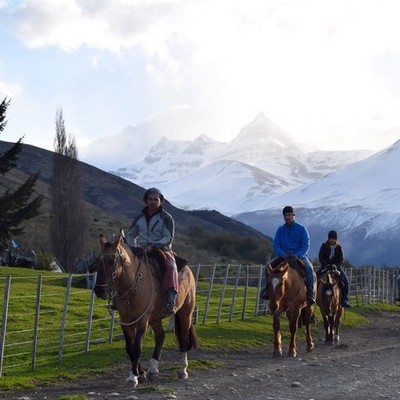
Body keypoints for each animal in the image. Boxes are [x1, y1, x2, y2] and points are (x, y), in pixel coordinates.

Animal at [94, 233, 200, 386]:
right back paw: (153, 370)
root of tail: (188, 270)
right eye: (98, 260)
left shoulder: (142, 321)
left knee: (184, 338)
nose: (99, 290)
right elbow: (130, 348)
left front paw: (133, 377)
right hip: (156, 318)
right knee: (160, 336)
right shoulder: (126, 321)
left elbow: (137, 347)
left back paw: (182, 370)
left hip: (185, 312)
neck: (133, 286)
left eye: (112, 260)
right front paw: (140, 373)